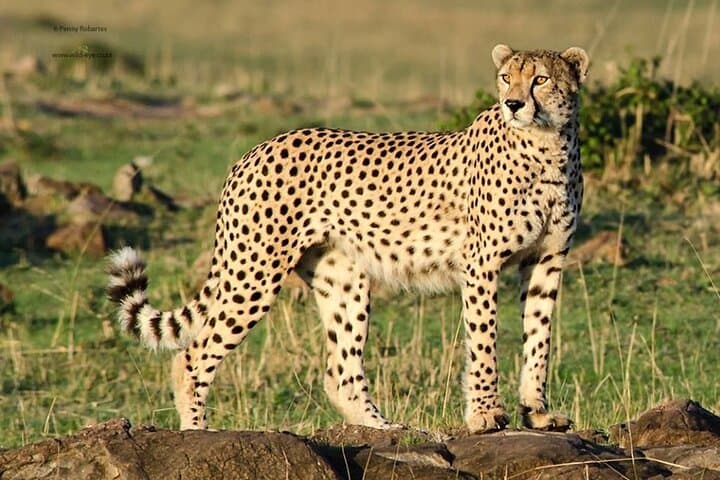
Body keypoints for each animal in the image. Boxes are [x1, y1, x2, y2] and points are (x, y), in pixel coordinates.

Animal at [107, 44, 589, 433]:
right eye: (507, 77)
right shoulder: (481, 264)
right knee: (190, 355)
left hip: (342, 280)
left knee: (339, 372)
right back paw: (197, 432)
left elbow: (539, 338)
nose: (513, 103)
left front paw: (538, 413)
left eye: (541, 79)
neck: (547, 145)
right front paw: (487, 415)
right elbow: (485, 341)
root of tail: (256, 149)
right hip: (254, 272)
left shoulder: (546, 261)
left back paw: (387, 429)